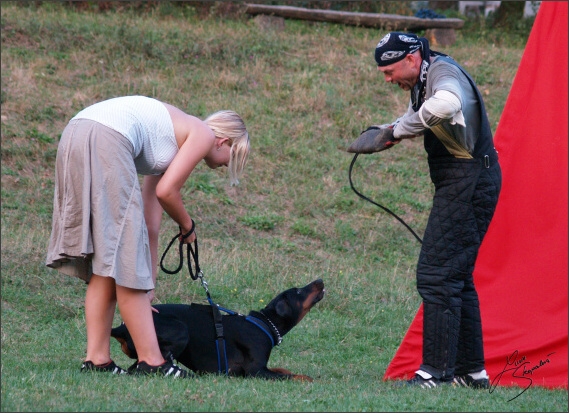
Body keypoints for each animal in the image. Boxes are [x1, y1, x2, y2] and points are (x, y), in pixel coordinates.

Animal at [111, 278, 324, 378]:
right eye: (298, 291)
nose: (320, 280)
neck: (265, 323)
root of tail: (121, 327)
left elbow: (283, 370)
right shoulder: (256, 371)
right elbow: (290, 377)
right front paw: (308, 379)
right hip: (179, 329)